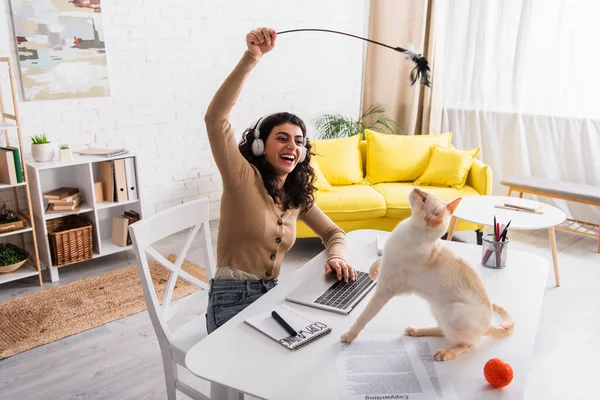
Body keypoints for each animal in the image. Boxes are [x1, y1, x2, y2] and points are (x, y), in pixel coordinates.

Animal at [340, 189, 512, 360]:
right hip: (436, 309)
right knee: (442, 330)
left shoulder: (384, 290)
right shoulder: (386, 258)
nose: (414, 189)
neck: (409, 228)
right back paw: (416, 330)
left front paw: (349, 335)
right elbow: (378, 260)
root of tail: (488, 325)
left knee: (468, 343)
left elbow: (364, 316)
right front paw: (372, 271)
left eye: (423, 198)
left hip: (452, 311)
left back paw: (444, 352)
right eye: (425, 193)